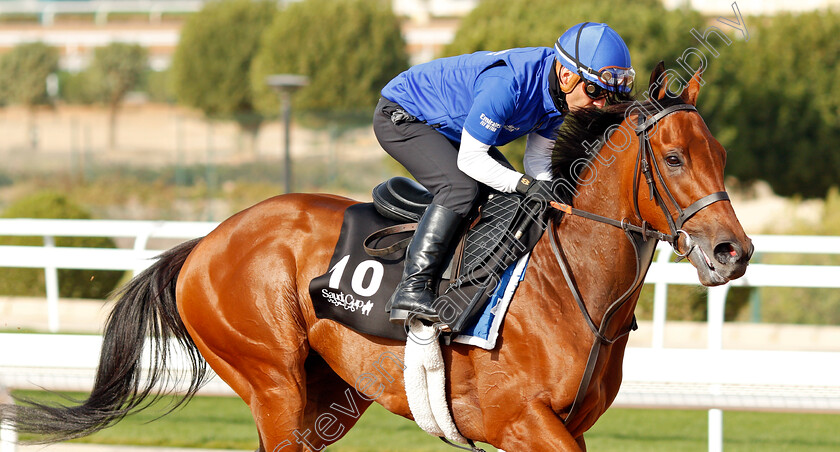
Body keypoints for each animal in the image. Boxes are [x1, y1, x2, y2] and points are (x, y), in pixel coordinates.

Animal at [0, 64, 748, 452]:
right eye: (673, 158)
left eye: (719, 154)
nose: (732, 252)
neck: (570, 289)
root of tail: (206, 243)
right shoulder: (526, 424)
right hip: (272, 381)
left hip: (329, 393)